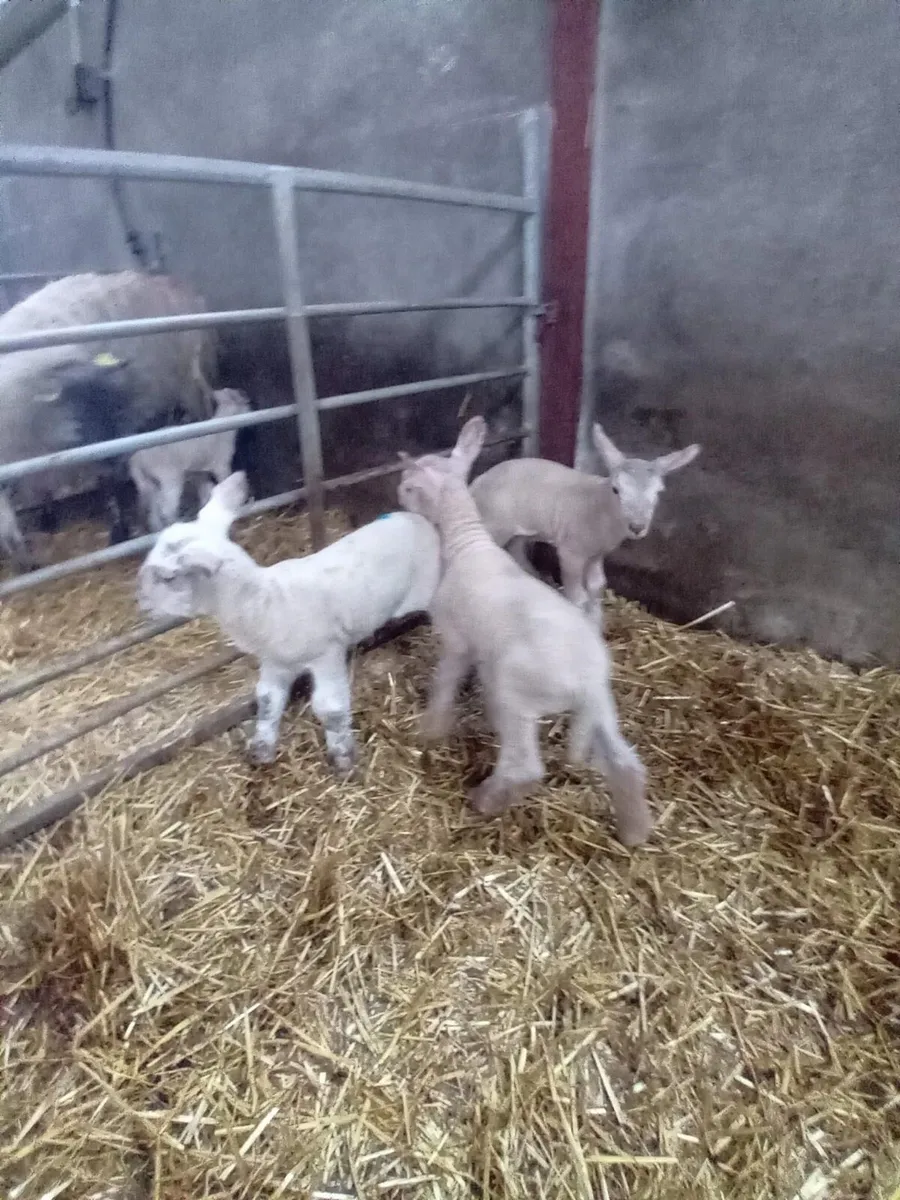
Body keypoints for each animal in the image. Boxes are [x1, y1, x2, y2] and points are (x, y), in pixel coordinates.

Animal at [0, 271, 217, 568]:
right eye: (76, 406)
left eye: (112, 403)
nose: (113, 457)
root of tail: (168, 281)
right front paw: (29, 550)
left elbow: (109, 486)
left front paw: (119, 532)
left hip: (190, 382)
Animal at [129, 388, 251, 531]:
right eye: (244, 401)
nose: (251, 407)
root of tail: (137, 459)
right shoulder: (221, 464)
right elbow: (225, 480)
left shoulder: (199, 473)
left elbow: (205, 490)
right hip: (169, 477)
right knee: (166, 509)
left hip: (148, 482)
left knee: (154, 510)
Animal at [136, 471, 441, 769]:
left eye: (168, 577)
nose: (140, 601)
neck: (265, 601)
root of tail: (417, 518)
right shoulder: (275, 661)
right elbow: (267, 699)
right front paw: (262, 749)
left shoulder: (326, 653)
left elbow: (330, 707)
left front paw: (343, 758)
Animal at [397, 417, 651, 847]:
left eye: (408, 486)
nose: (397, 498)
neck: (468, 542)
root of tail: (582, 680)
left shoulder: (456, 640)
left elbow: (444, 683)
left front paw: (430, 731)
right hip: (598, 704)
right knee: (624, 761)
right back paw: (633, 830)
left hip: (516, 695)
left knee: (523, 767)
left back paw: (484, 799)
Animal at [468, 424, 700, 624]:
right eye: (616, 489)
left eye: (658, 492)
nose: (637, 527)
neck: (599, 507)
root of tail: (476, 483)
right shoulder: (571, 552)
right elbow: (578, 596)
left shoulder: (597, 554)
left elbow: (597, 587)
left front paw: (597, 624)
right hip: (493, 524)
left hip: (518, 532)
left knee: (516, 555)